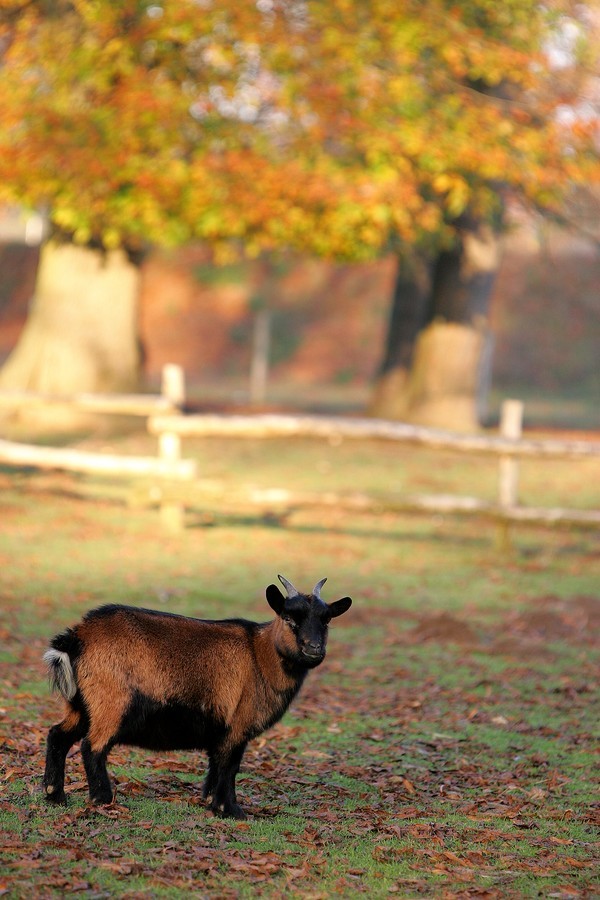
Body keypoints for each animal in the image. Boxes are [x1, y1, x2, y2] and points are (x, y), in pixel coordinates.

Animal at [43, 572, 352, 820]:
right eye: (288, 617)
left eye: (326, 621)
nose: (314, 649)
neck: (260, 655)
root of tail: (78, 636)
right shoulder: (236, 725)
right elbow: (229, 767)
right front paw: (232, 811)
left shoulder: (221, 729)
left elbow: (215, 766)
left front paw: (210, 802)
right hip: (111, 703)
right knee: (92, 746)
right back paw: (102, 800)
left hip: (81, 705)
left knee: (58, 735)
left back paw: (54, 795)